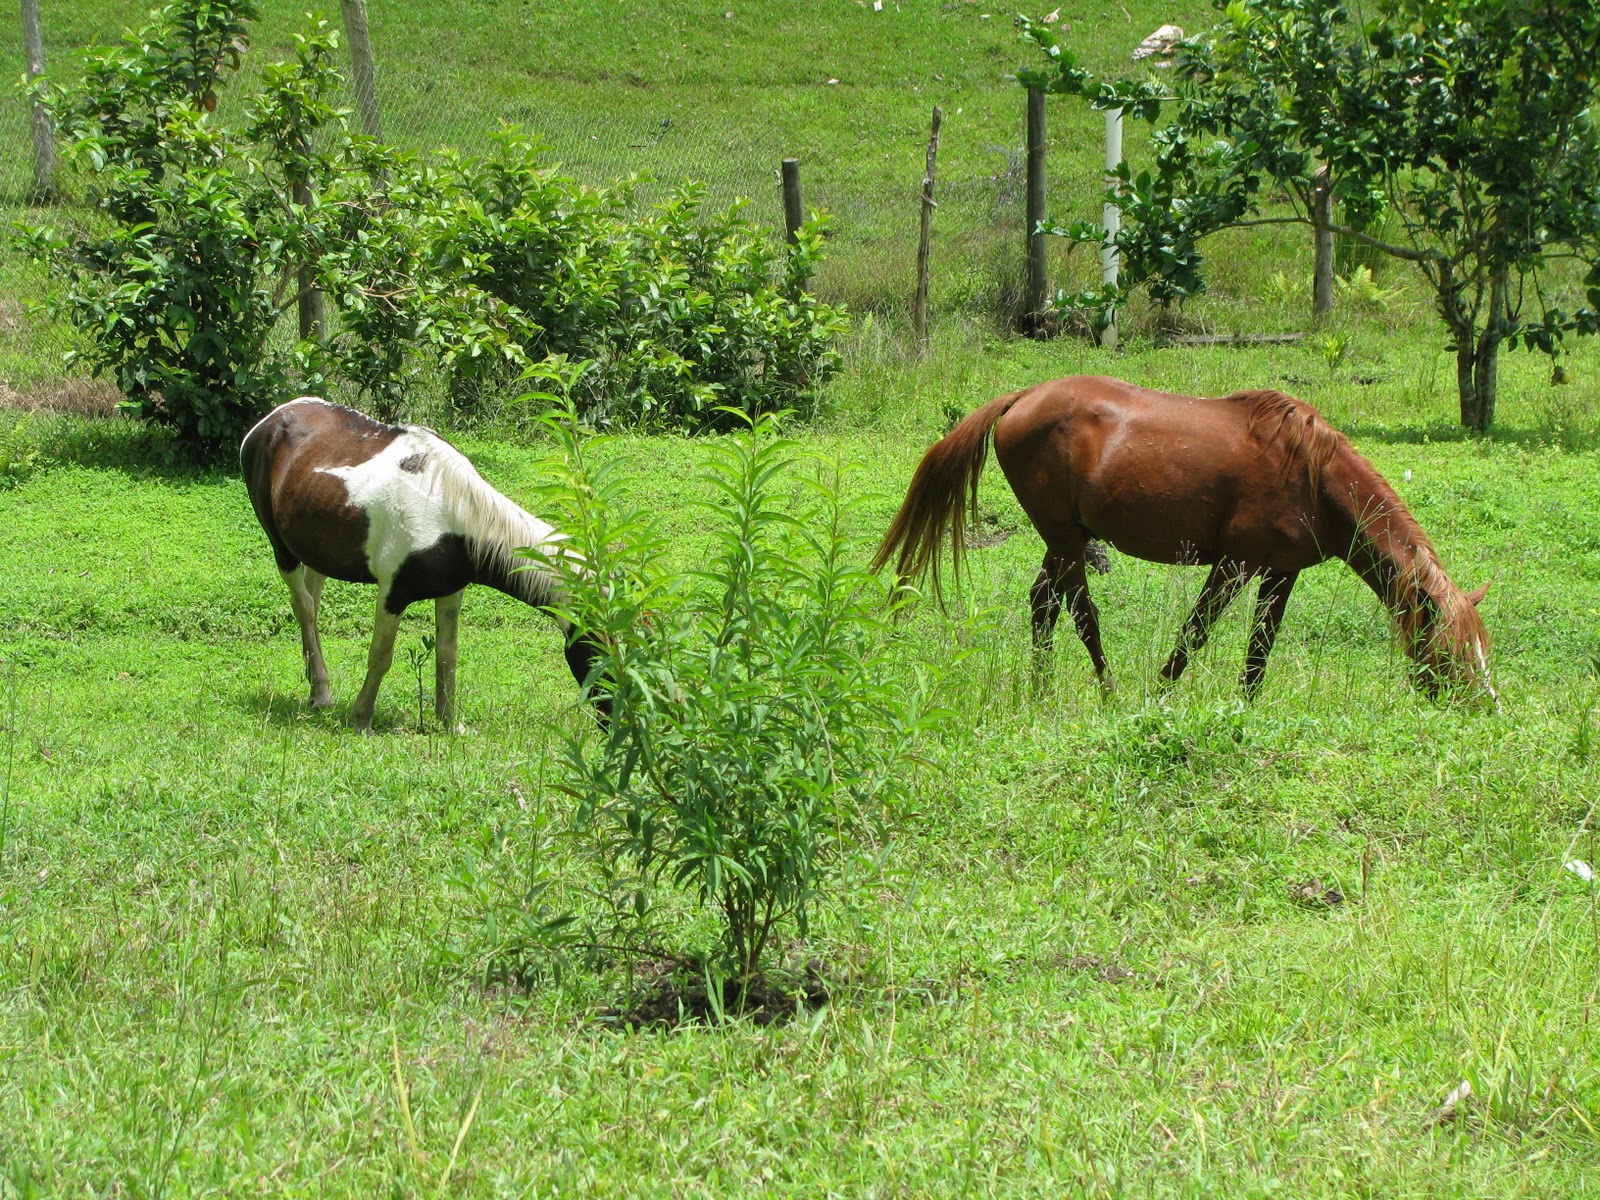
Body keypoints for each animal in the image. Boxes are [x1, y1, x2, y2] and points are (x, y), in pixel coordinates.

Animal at [241, 397, 606, 732]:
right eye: (600, 648)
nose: (608, 721)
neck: (454, 514)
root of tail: (272, 419)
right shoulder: (394, 593)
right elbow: (381, 656)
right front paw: (362, 719)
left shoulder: (451, 590)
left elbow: (447, 654)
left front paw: (450, 722)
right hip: (281, 548)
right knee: (303, 606)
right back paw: (321, 692)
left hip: (317, 549)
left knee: (312, 602)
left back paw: (317, 689)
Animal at [874, 375, 1495, 703]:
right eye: (1452, 652)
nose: (1483, 708)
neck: (1313, 477)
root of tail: (1022, 398)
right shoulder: (1233, 565)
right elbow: (1195, 633)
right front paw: (1163, 691)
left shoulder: (1281, 573)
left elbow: (1259, 649)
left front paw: (1247, 706)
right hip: (1066, 539)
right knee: (1080, 611)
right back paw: (1108, 689)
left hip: (1064, 539)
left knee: (1043, 604)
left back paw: (1041, 686)